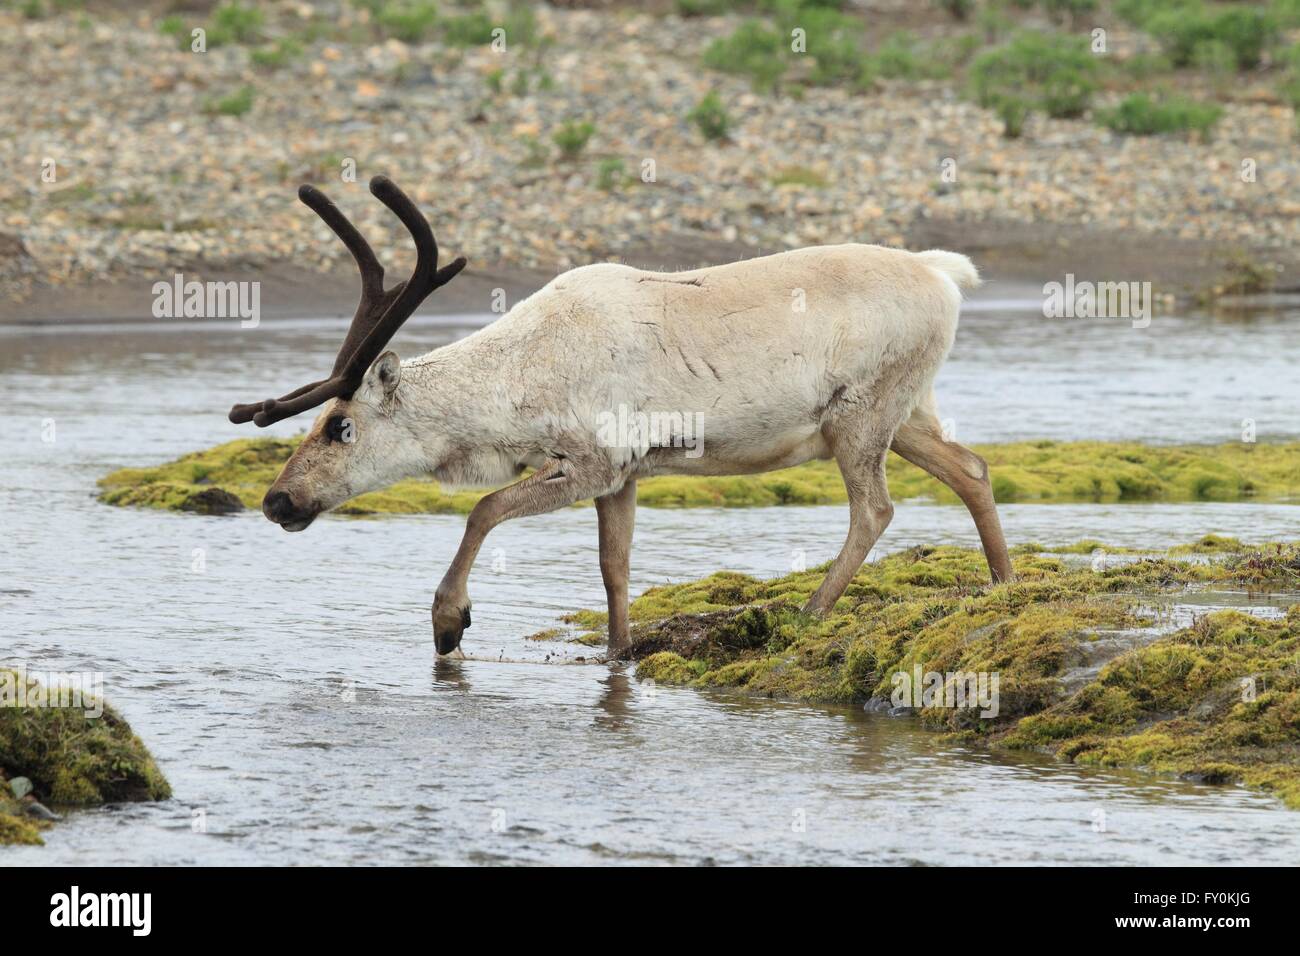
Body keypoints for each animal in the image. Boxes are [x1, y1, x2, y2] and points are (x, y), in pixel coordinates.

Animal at [230, 177, 1012, 658]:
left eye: (341, 427)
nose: (277, 500)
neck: (518, 383)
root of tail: (946, 273)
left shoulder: (593, 459)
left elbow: (483, 509)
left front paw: (449, 622)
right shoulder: (625, 474)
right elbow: (614, 566)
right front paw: (618, 654)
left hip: (863, 413)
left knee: (876, 508)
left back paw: (807, 613)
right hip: (904, 413)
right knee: (972, 468)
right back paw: (1006, 585)